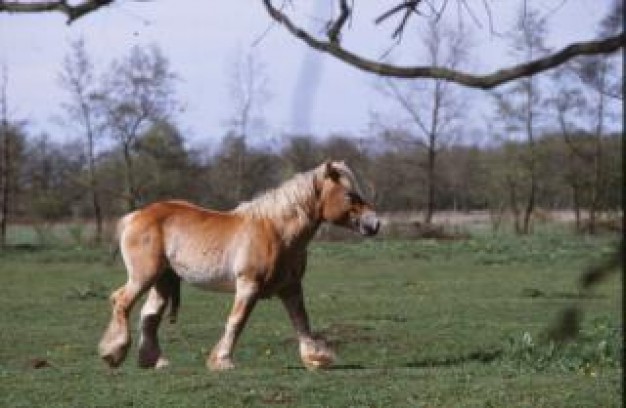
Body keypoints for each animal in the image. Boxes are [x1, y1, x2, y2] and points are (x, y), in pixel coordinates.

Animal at [98, 159, 380, 370]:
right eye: (350, 195)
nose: (374, 224)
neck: (275, 231)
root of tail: (137, 216)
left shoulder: (290, 288)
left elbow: (301, 321)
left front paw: (315, 358)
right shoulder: (248, 285)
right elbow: (237, 320)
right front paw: (222, 361)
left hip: (163, 280)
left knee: (149, 315)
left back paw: (154, 361)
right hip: (144, 277)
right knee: (121, 301)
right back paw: (113, 353)